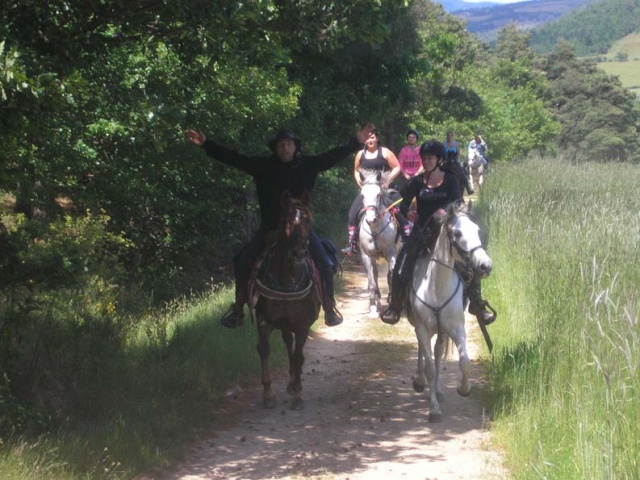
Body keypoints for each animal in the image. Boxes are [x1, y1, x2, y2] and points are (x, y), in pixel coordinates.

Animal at [250, 189, 320, 410]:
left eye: (308, 220)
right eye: (284, 221)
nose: (299, 253)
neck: (286, 282)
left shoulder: (302, 325)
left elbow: (298, 356)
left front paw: (298, 395)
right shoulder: (264, 320)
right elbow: (264, 349)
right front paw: (268, 394)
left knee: (297, 352)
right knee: (288, 343)